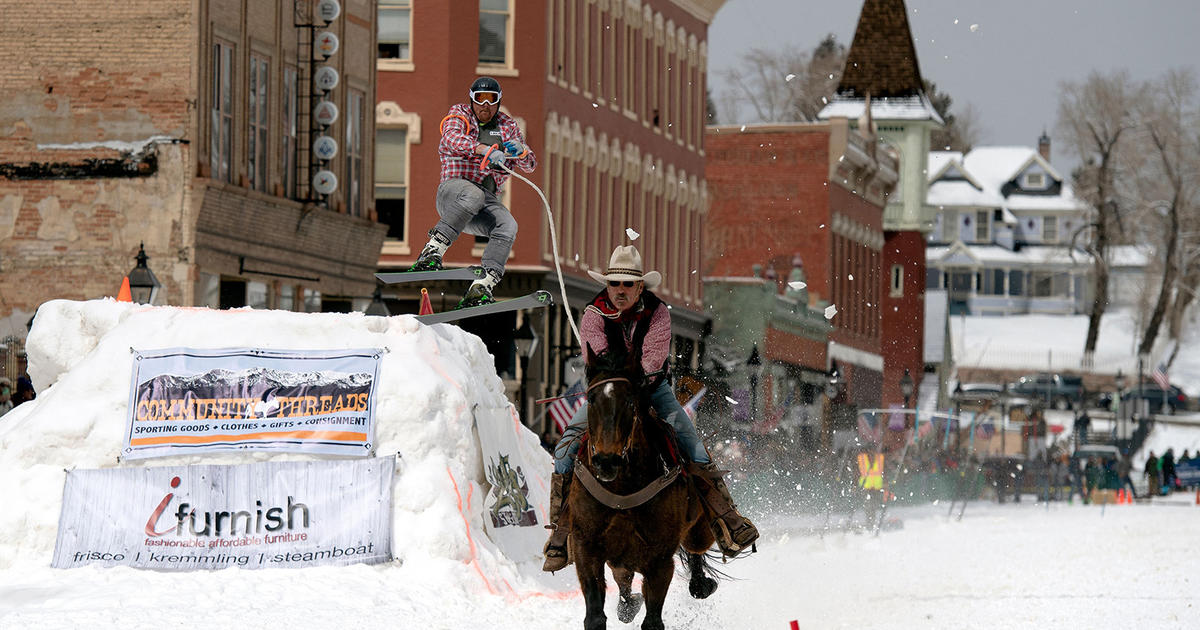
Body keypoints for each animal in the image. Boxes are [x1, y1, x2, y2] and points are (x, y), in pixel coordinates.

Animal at [566, 348, 715, 628]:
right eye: (590, 399)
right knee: (623, 580)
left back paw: (701, 584)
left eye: (630, 402)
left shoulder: (659, 562)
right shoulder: (586, 548)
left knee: (696, 552)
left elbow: (653, 620)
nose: (606, 460)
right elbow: (595, 615)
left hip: (699, 530)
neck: (622, 490)